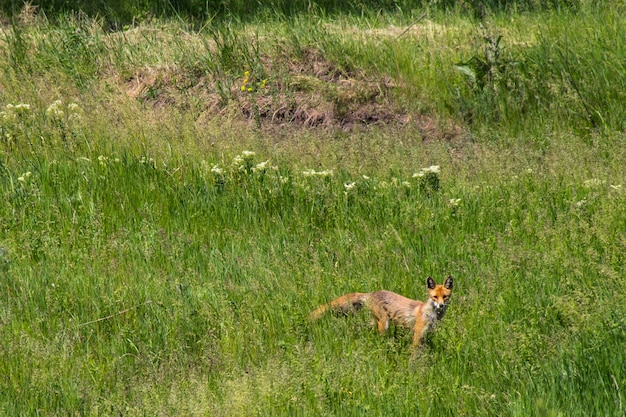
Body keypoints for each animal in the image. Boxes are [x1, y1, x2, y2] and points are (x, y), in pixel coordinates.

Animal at [308, 274, 450, 346]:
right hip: (384, 324)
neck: (431, 315)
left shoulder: (426, 335)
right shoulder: (417, 334)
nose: (441, 306)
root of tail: (373, 293)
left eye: (445, 297)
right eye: (435, 297)